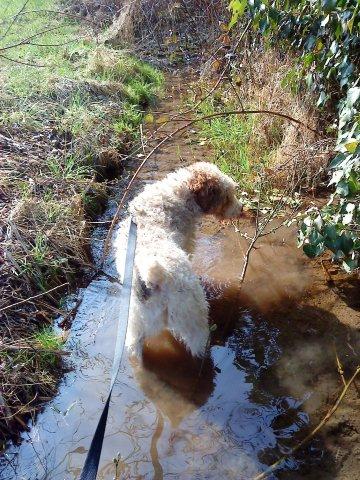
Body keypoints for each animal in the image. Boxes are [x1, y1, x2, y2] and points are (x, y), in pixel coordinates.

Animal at [115, 163, 243, 358]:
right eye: (227, 196)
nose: (241, 209)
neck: (179, 192)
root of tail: (153, 278)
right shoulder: (188, 244)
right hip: (194, 318)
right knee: (199, 346)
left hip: (134, 329)